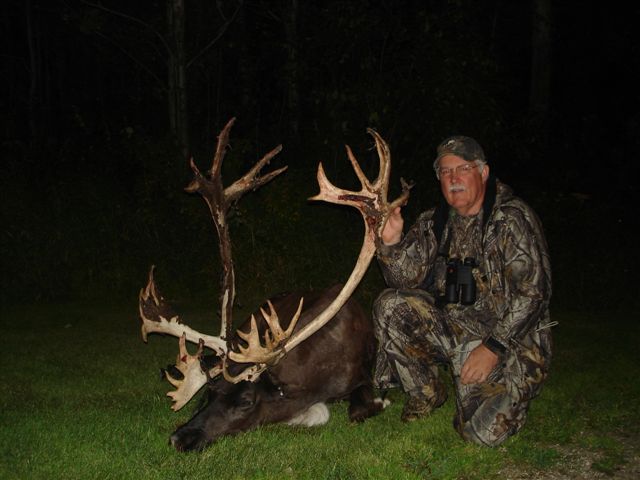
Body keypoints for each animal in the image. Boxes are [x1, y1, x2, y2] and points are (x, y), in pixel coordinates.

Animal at [138, 117, 411, 451]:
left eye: (245, 401)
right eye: (209, 393)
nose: (180, 437)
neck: (317, 377)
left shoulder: (361, 377)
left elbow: (357, 410)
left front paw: (381, 402)